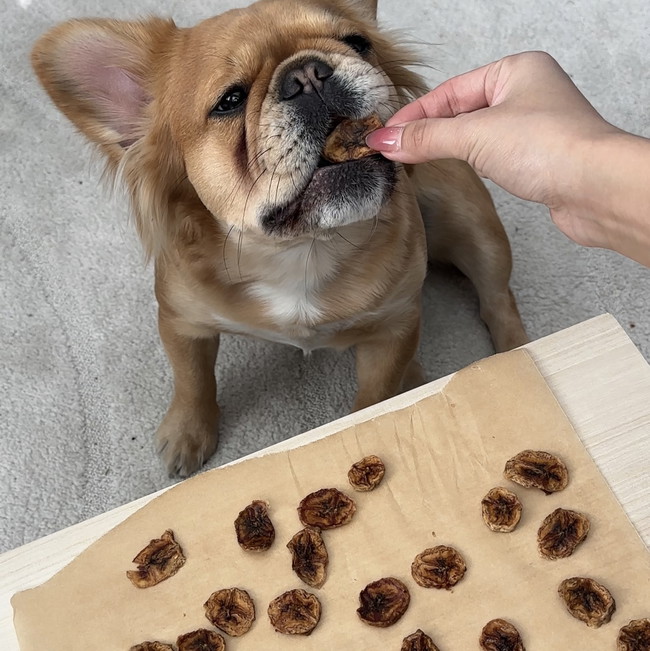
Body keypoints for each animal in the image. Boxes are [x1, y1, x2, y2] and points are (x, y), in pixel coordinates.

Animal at [31, 0, 528, 476]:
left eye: (358, 43)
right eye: (229, 100)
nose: (308, 73)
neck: (302, 248)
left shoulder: (394, 328)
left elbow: (374, 395)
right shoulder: (181, 322)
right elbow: (193, 380)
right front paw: (188, 433)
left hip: (470, 222)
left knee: (497, 298)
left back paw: (511, 352)